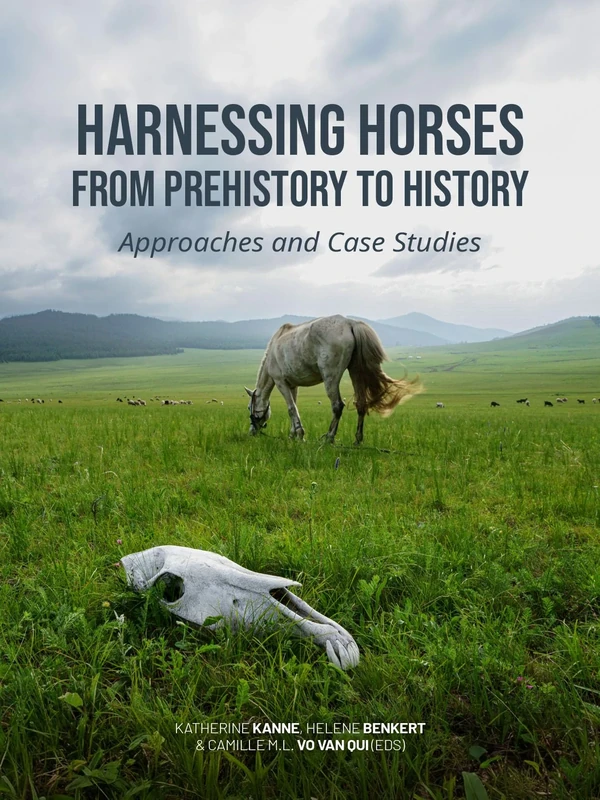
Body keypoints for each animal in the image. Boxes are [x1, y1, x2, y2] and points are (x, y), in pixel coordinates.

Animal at [245, 315, 422, 445]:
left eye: (249, 407)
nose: (252, 432)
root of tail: (350, 323)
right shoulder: (293, 386)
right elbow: (294, 408)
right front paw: (293, 434)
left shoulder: (281, 382)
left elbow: (291, 409)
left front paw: (300, 435)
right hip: (356, 372)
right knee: (361, 404)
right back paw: (357, 440)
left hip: (330, 377)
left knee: (337, 405)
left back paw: (329, 437)